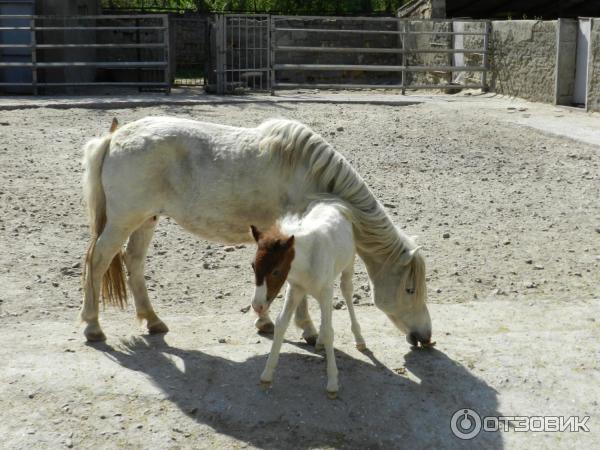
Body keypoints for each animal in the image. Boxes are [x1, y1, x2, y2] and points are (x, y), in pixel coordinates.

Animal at [82, 117, 434, 344]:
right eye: (409, 289)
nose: (426, 337)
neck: (308, 175)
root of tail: (114, 138)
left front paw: (266, 322)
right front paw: (307, 330)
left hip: (146, 219)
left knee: (134, 262)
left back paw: (153, 320)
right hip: (124, 220)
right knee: (98, 260)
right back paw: (93, 326)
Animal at [248, 202, 370, 400]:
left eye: (275, 271)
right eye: (253, 266)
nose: (257, 306)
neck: (306, 262)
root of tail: (334, 204)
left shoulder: (327, 292)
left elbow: (329, 331)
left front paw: (332, 383)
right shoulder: (295, 289)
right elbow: (281, 323)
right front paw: (267, 375)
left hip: (348, 266)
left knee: (347, 292)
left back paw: (359, 339)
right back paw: (319, 342)